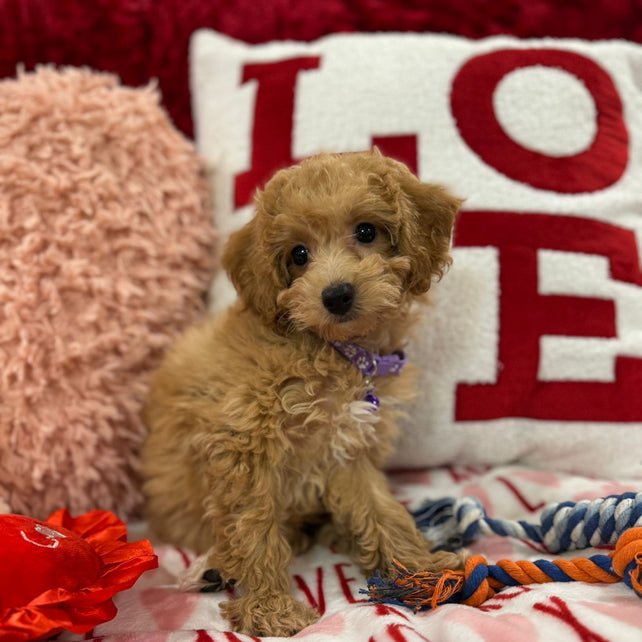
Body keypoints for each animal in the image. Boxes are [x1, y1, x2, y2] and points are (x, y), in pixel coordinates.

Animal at [140, 150, 460, 636]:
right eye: (299, 255)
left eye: (366, 231)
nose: (336, 295)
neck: (335, 351)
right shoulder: (243, 443)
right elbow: (254, 527)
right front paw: (269, 607)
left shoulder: (347, 449)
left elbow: (380, 509)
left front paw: (418, 569)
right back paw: (215, 568)